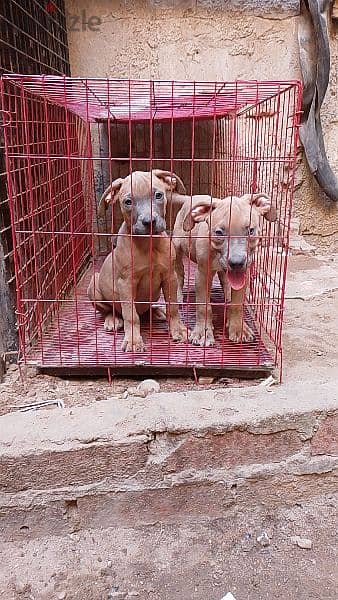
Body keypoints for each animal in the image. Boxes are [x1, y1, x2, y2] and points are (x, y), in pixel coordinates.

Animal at [88, 169, 187, 352]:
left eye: (158, 195)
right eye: (128, 202)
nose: (149, 222)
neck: (148, 245)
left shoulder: (170, 277)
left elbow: (173, 307)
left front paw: (178, 329)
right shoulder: (126, 283)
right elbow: (130, 315)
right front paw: (133, 340)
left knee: (145, 310)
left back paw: (156, 312)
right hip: (94, 283)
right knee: (111, 310)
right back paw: (113, 319)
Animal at [173, 195, 276, 346]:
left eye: (251, 231)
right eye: (219, 233)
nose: (237, 262)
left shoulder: (242, 276)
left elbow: (237, 304)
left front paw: (239, 328)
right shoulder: (203, 275)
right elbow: (203, 307)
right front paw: (203, 333)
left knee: (226, 284)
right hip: (176, 248)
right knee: (179, 274)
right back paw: (178, 295)